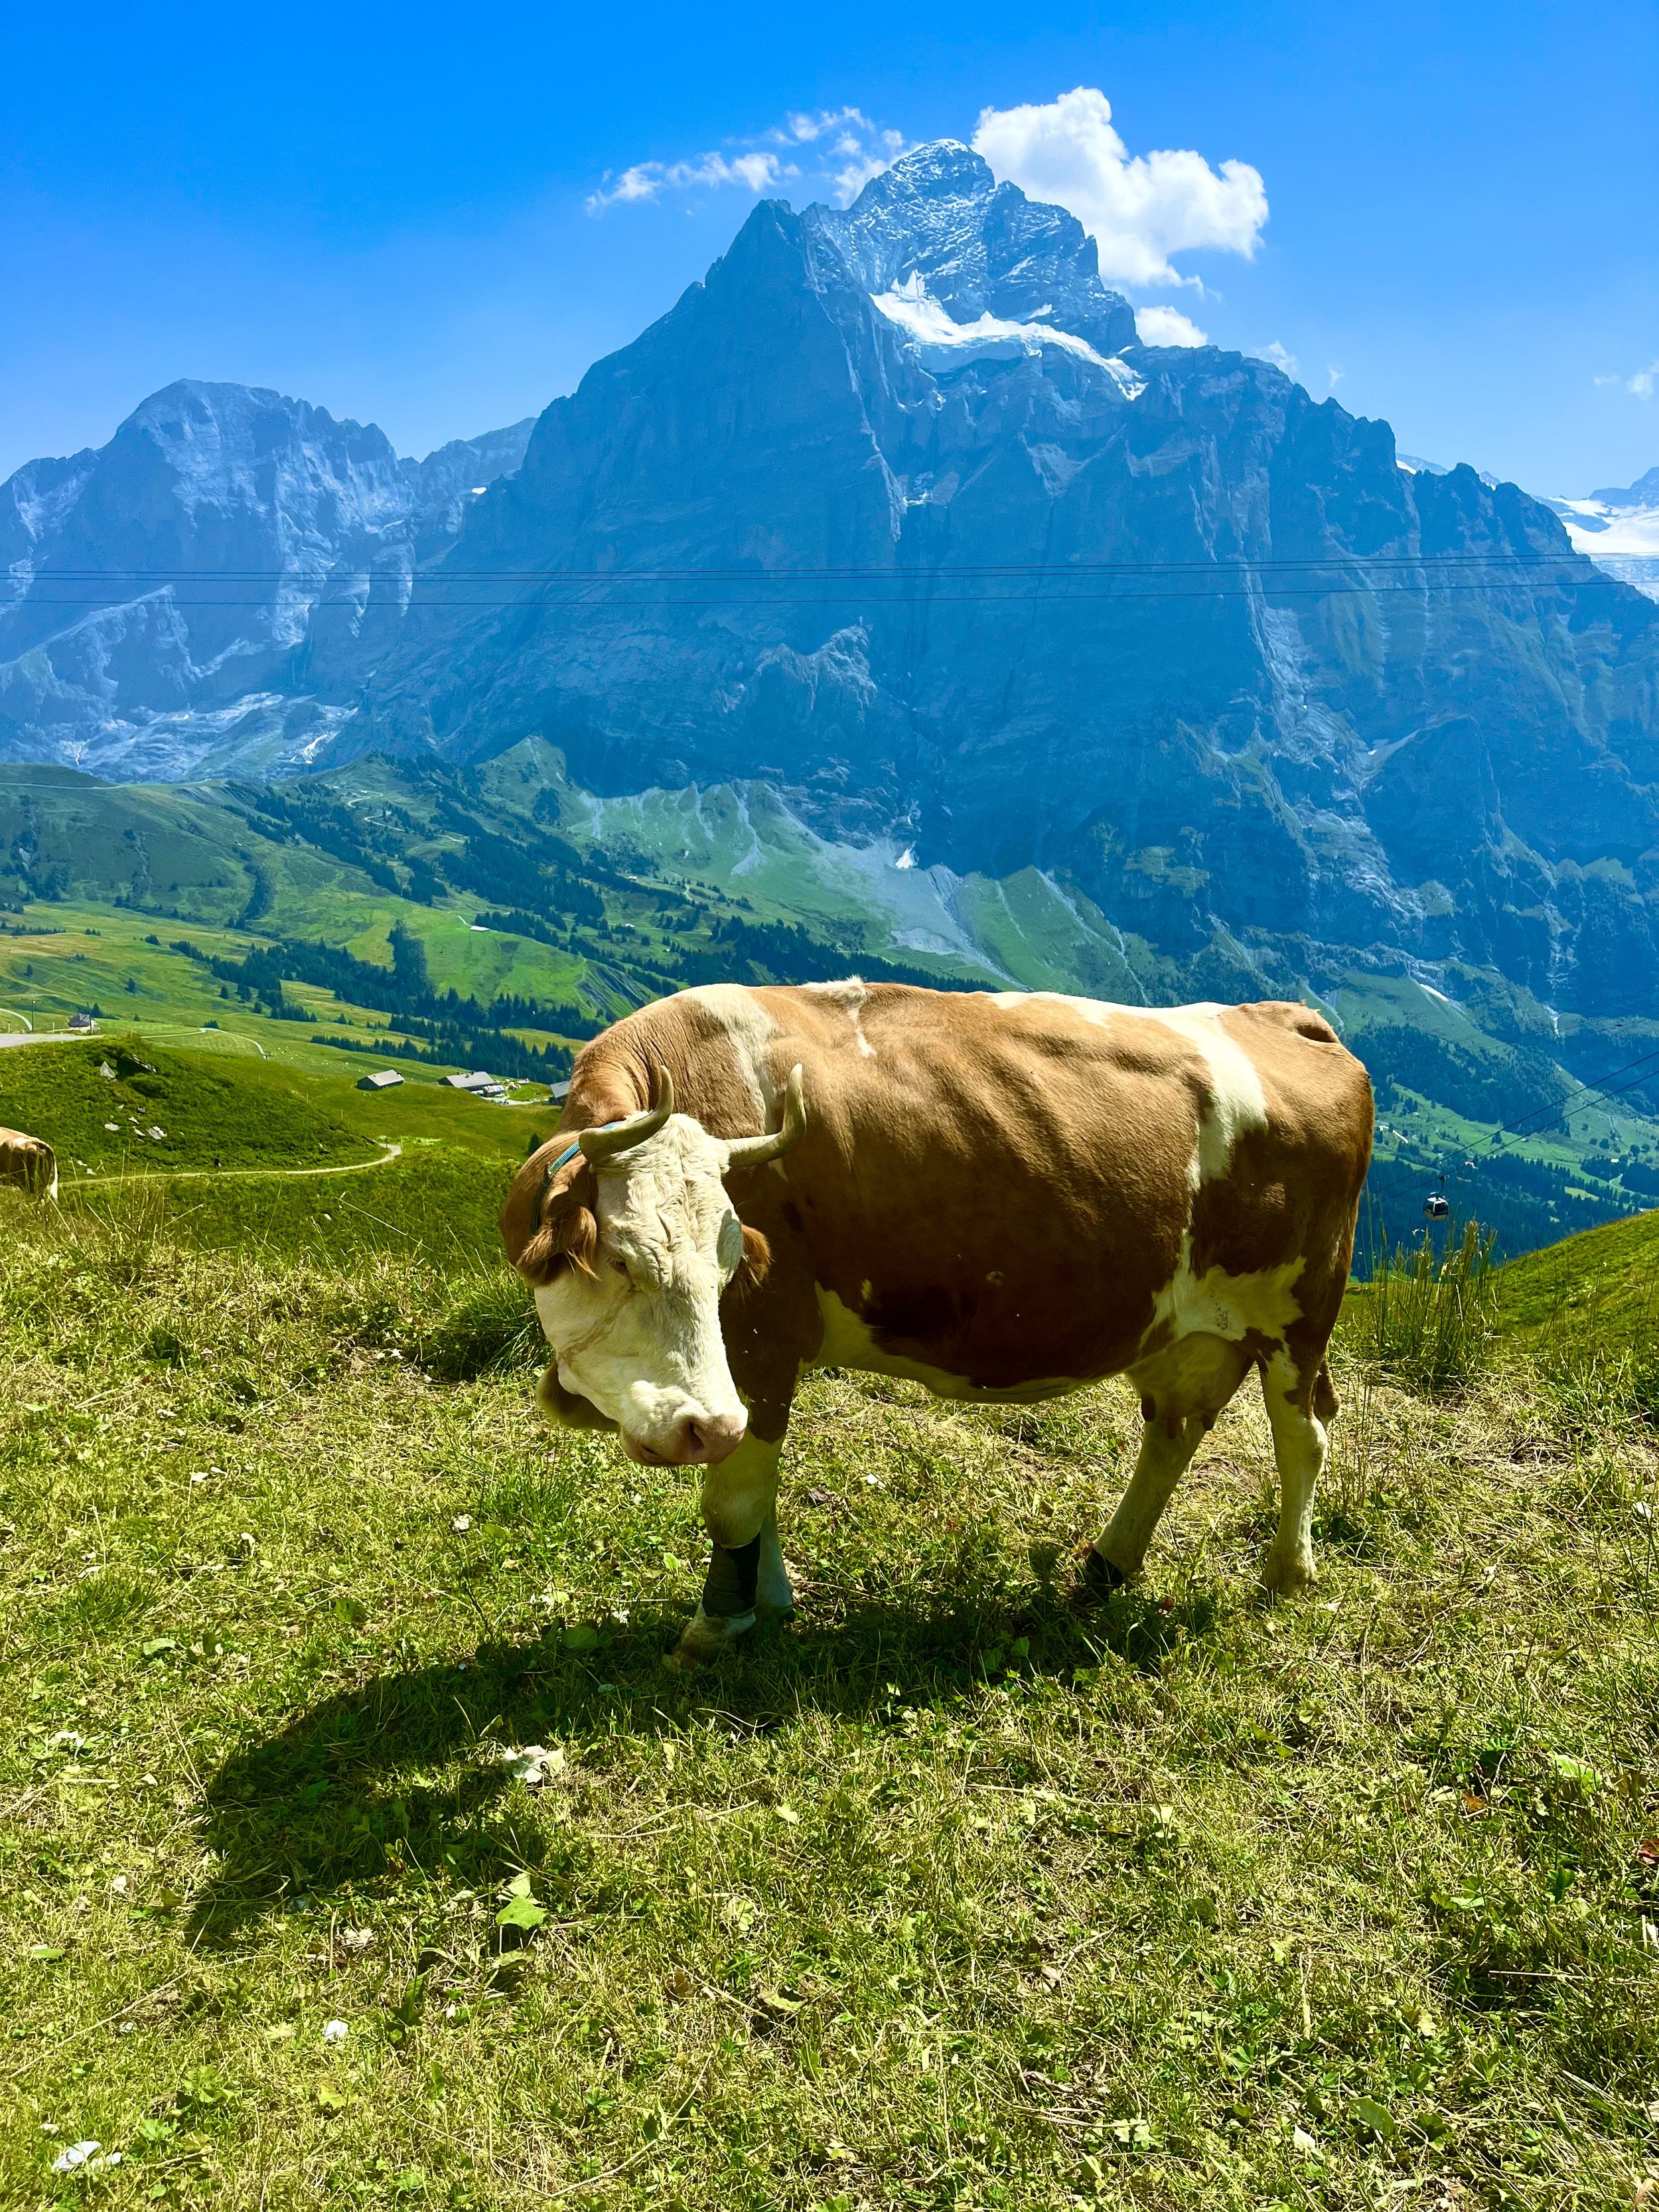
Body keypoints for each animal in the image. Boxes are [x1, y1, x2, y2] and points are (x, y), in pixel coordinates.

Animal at [500, 982, 1373, 1665]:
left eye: (727, 1268)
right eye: (621, 1257)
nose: (701, 1428)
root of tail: (1286, 1017)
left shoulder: (762, 1341)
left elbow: (735, 1498)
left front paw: (719, 1625)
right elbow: (758, 1490)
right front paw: (768, 1599)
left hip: (1299, 1313)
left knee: (1302, 1436)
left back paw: (1287, 1575)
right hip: (1183, 1329)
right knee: (1174, 1432)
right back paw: (1105, 1568)